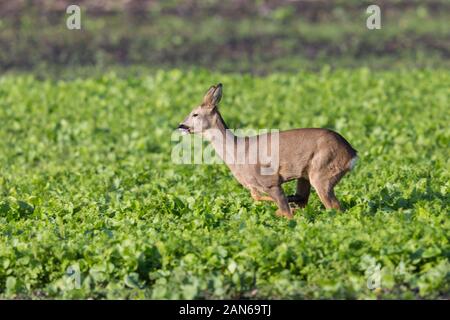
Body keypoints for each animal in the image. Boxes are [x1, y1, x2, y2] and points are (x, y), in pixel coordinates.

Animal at [178, 84, 356, 219]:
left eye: (195, 114)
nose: (181, 126)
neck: (238, 152)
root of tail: (352, 154)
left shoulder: (271, 181)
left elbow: (285, 212)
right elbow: (258, 198)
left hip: (323, 172)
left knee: (334, 207)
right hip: (306, 175)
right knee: (306, 200)